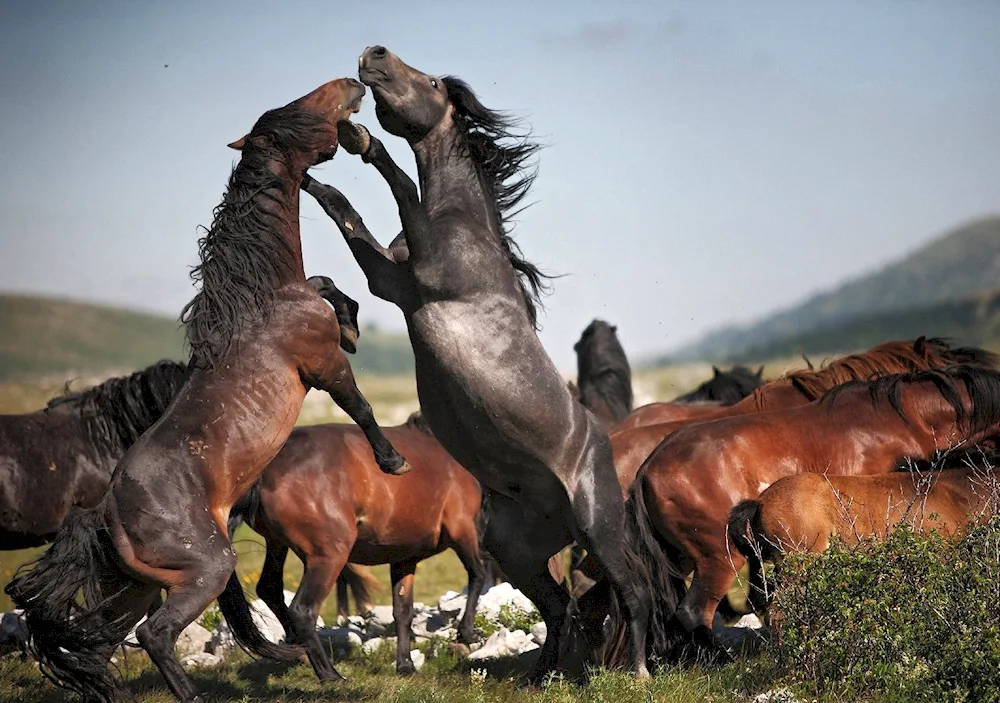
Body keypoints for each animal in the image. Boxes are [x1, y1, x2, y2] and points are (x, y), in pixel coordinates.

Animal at [5, 77, 406, 703]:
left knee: (98, 642)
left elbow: (327, 285)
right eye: (298, 110)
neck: (263, 298)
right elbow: (360, 404)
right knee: (156, 634)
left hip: (136, 586)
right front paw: (393, 460)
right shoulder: (321, 366)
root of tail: (104, 513)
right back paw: (192, 694)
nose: (352, 84)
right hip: (206, 571)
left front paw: (352, 320)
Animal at [220, 410, 488, 680]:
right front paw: (467, 633)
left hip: (277, 544)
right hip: (329, 556)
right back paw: (329, 674)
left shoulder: (404, 557)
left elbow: (403, 611)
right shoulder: (462, 528)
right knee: (302, 610)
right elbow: (477, 575)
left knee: (270, 588)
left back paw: (299, 649)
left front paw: (405, 665)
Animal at [300, 45, 652, 680]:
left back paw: (636, 672)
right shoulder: (392, 281)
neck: (463, 223)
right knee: (559, 606)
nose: (373, 54)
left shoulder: (421, 275)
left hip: (599, 528)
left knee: (632, 592)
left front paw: (361, 140)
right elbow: (345, 215)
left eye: (433, 82)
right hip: (514, 549)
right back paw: (543, 676)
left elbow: (397, 185)